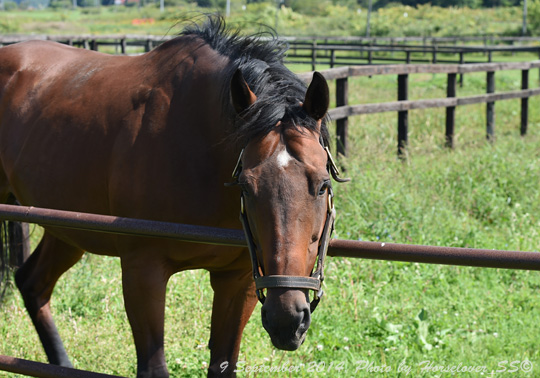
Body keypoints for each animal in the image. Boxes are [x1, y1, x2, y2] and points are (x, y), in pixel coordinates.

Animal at [1, 17, 342, 378]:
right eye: (246, 186)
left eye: (322, 185)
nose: (287, 319)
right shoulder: (143, 271)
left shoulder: (239, 281)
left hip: (67, 230)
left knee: (32, 283)